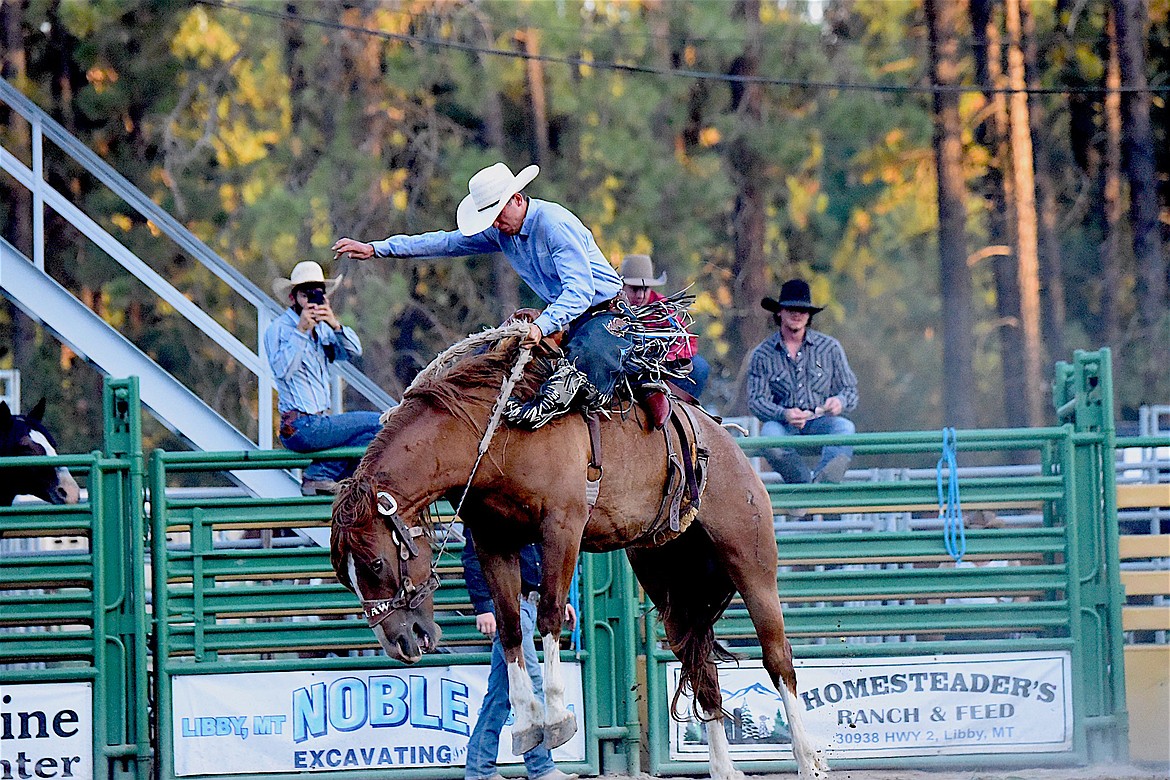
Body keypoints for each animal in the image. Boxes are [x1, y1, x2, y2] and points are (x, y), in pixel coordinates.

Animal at [329, 339, 823, 776]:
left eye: (374, 564)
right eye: (345, 577)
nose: (401, 641)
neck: (493, 433)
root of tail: (728, 446)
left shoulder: (562, 529)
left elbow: (549, 616)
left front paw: (557, 718)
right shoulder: (492, 540)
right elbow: (510, 627)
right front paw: (526, 725)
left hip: (750, 558)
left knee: (777, 658)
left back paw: (809, 763)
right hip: (667, 575)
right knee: (699, 665)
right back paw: (723, 769)